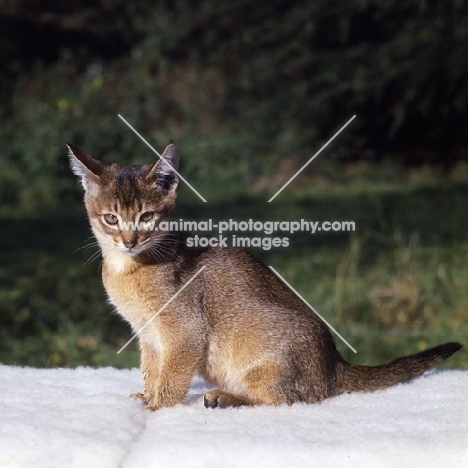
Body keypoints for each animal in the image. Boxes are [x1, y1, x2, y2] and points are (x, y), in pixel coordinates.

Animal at [67, 143, 462, 410]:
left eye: (147, 216)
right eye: (111, 218)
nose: (129, 240)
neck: (128, 268)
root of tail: (334, 364)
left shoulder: (184, 333)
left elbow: (172, 378)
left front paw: (157, 408)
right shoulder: (148, 336)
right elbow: (151, 370)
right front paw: (145, 397)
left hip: (264, 365)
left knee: (288, 401)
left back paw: (224, 398)